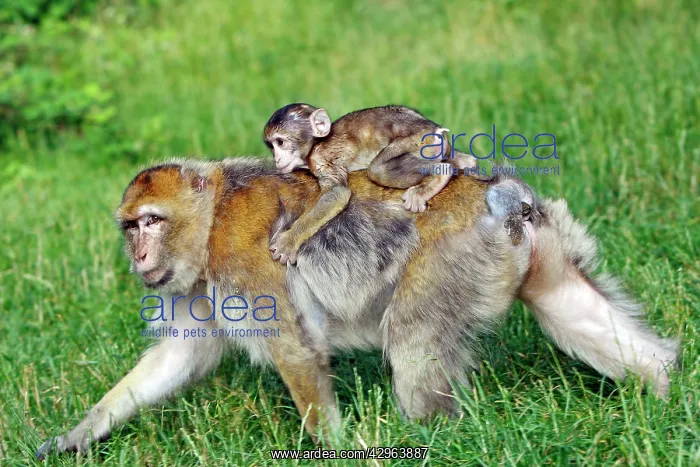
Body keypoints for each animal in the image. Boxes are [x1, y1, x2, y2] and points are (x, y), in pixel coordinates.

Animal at [35, 157, 678, 459]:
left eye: (152, 221)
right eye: (130, 226)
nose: (139, 254)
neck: (213, 216)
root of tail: (501, 194)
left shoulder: (243, 260)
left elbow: (295, 349)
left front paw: (336, 453)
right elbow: (179, 358)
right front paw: (78, 436)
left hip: (452, 258)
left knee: (414, 343)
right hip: (542, 244)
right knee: (567, 307)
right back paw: (665, 390)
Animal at [263, 103, 484, 265]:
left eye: (280, 142)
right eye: (271, 146)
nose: (276, 158)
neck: (315, 145)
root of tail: (437, 130)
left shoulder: (322, 158)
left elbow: (337, 193)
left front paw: (289, 241)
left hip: (421, 141)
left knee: (378, 169)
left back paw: (440, 174)